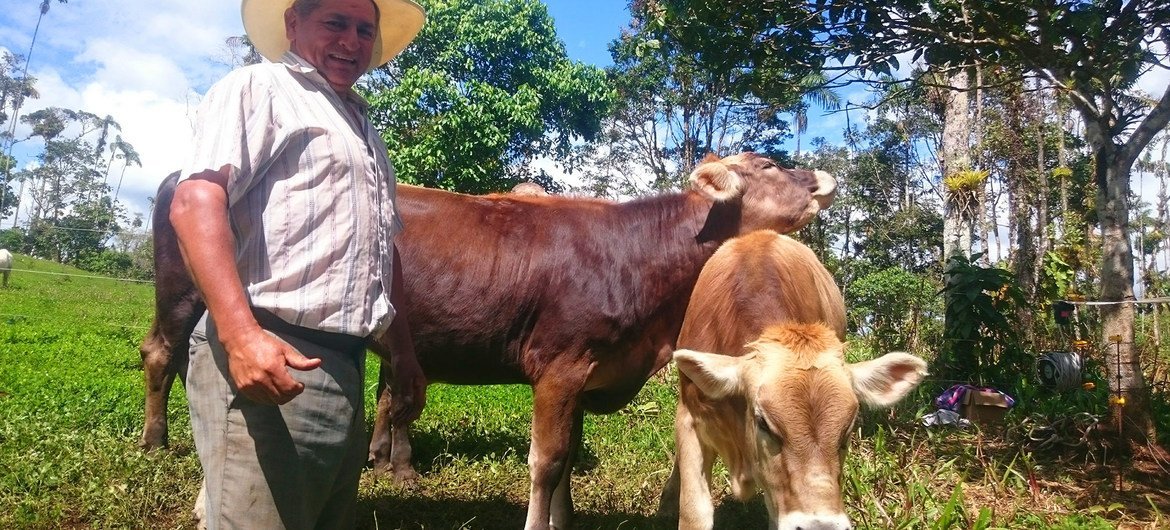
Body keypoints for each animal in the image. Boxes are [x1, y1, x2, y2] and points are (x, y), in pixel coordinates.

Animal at [136, 150, 837, 526]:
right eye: (769, 164)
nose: (826, 178)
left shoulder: (586, 373)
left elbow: (566, 461)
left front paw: (564, 520)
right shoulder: (560, 363)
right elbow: (546, 461)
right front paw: (538, 523)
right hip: (191, 298)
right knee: (166, 357)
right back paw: (158, 450)